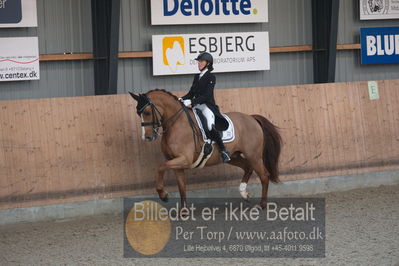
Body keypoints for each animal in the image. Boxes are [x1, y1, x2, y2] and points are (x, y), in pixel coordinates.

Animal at [130, 89, 282, 210]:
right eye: (138, 113)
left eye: (147, 112)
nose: (147, 137)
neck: (176, 124)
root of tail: (251, 118)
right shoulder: (176, 163)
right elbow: (181, 186)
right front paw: (183, 211)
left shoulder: (184, 160)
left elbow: (160, 167)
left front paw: (163, 195)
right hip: (233, 157)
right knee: (247, 167)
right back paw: (244, 193)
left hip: (254, 155)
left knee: (264, 176)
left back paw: (261, 205)